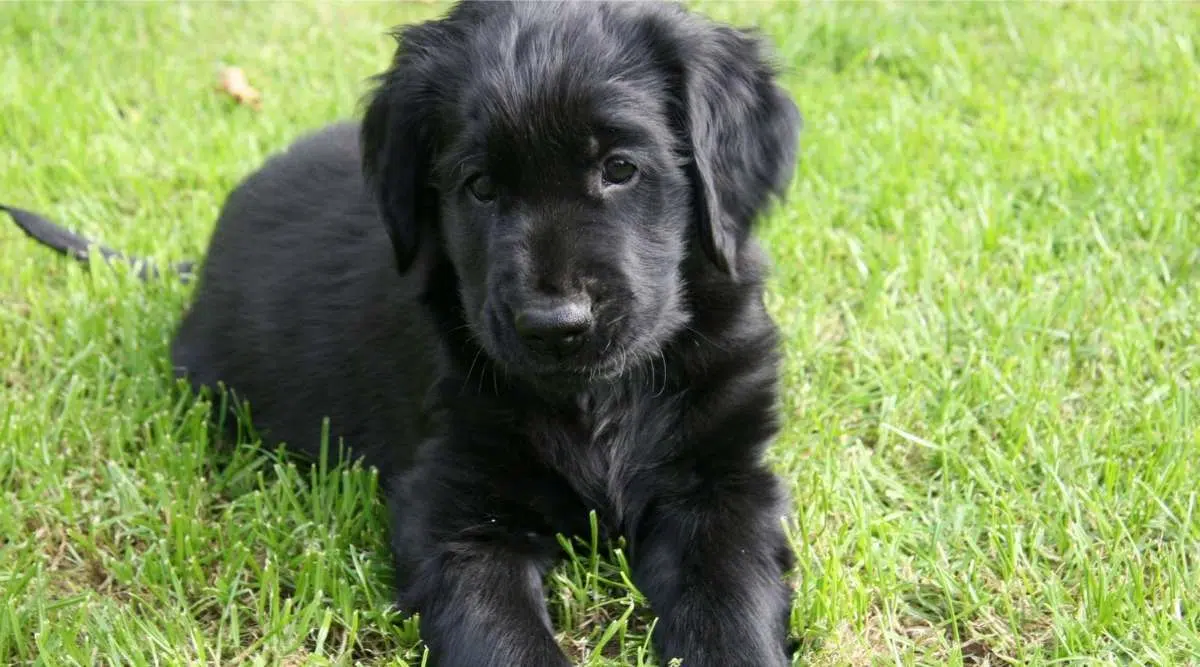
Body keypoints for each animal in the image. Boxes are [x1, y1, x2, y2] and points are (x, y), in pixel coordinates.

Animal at [7, 2, 806, 662]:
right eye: (478, 186)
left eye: (619, 167)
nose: (554, 327)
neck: (598, 399)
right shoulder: (454, 507)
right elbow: (502, 635)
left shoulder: (724, 483)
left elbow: (730, 601)